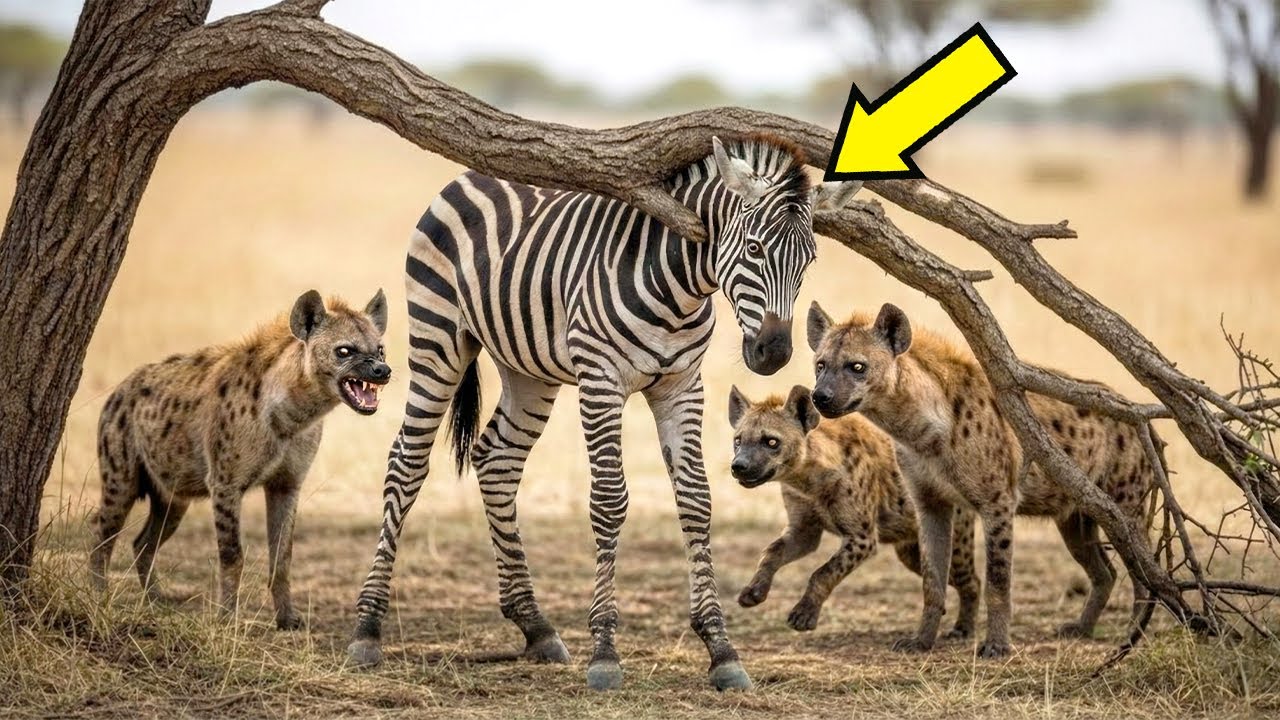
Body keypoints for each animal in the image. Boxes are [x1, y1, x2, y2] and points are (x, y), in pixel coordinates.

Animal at [345, 135, 862, 690]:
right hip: (437, 337)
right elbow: (611, 501)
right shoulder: (601, 380)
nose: (774, 353)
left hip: (529, 371)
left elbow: (697, 502)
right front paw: (606, 651)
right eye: (753, 249)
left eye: (809, 259)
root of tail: (473, 171)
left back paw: (535, 624)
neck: (680, 289)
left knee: (498, 461)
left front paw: (721, 649)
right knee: (406, 462)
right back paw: (368, 628)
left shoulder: (682, 387)